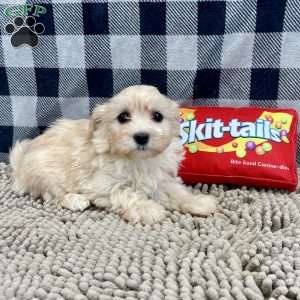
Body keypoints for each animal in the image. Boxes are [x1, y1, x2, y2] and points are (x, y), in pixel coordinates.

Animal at [8, 85, 216, 224]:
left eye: (157, 116)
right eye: (123, 116)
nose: (141, 136)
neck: (137, 160)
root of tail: (19, 165)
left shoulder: (161, 178)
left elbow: (178, 192)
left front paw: (198, 201)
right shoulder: (101, 184)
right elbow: (125, 192)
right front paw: (147, 208)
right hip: (45, 173)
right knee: (53, 195)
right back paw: (75, 200)